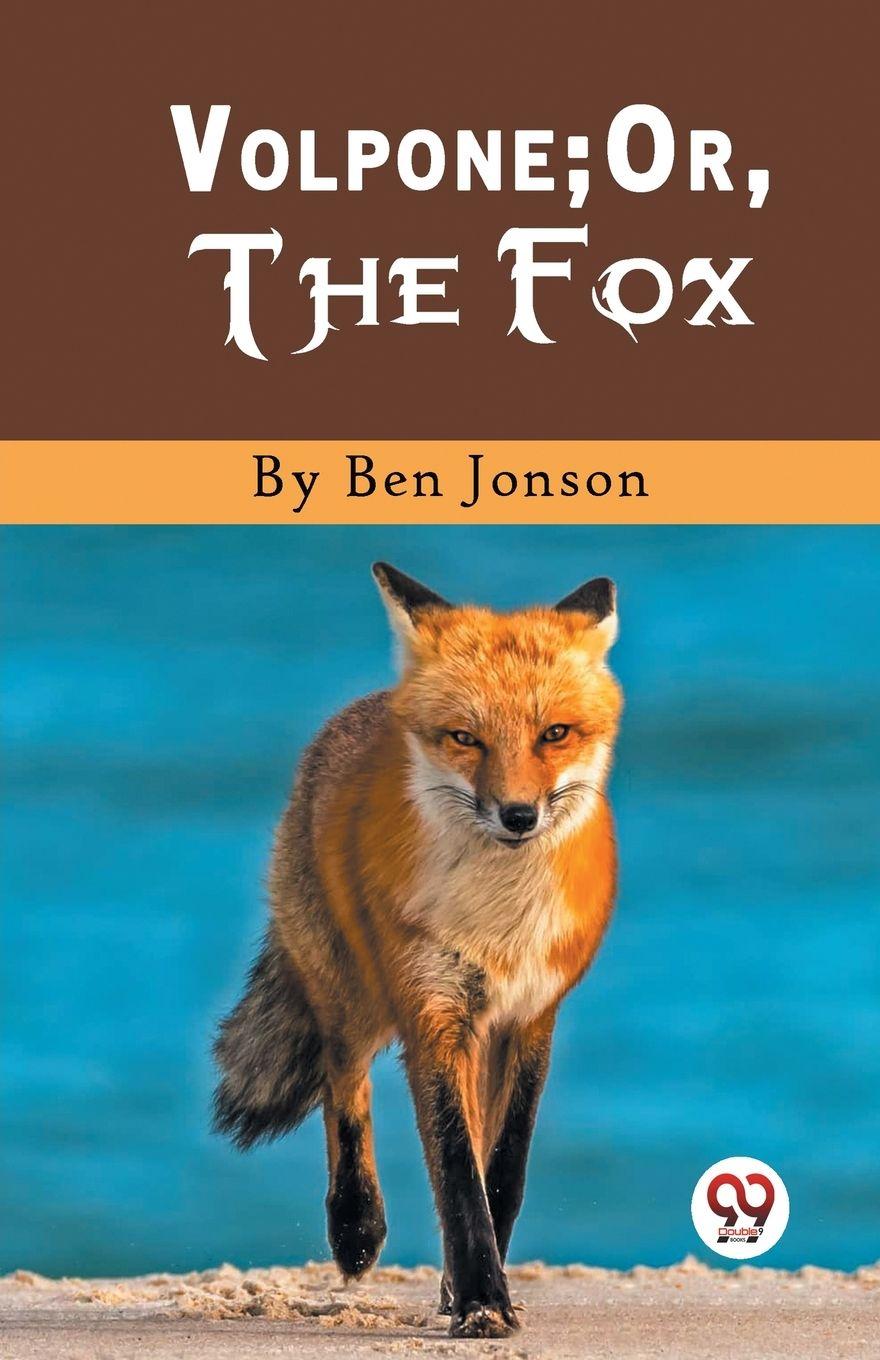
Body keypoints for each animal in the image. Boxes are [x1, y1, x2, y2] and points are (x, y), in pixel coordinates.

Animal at [213, 562, 622, 1339]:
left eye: (554, 734)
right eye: (466, 738)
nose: (518, 815)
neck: (500, 923)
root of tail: (364, 709)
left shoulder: (532, 1017)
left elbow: (502, 1168)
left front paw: (470, 1288)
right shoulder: (432, 1011)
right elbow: (457, 1172)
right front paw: (482, 1300)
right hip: (352, 992)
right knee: (342, 1080)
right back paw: (356, 1226)